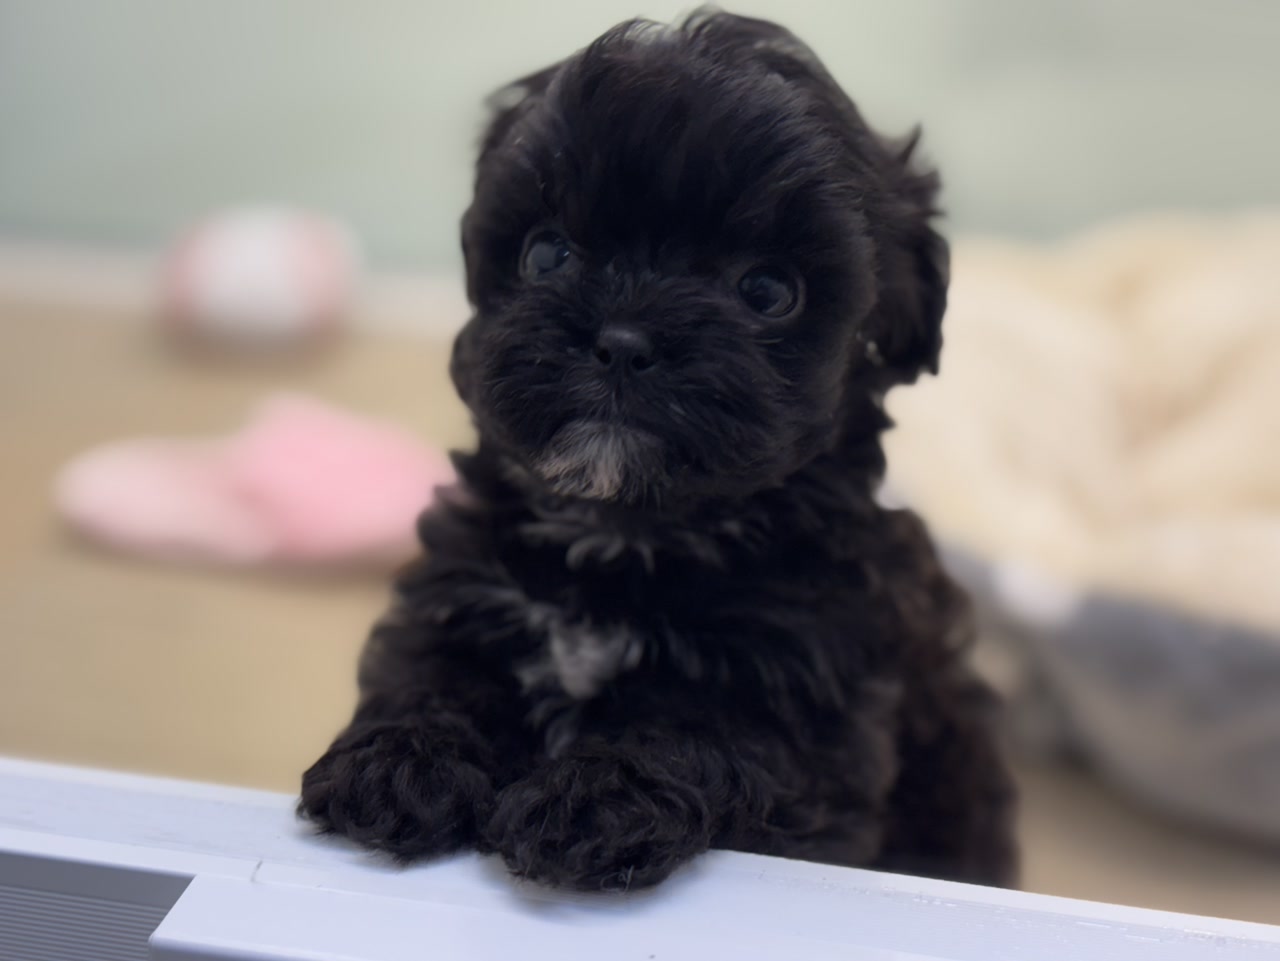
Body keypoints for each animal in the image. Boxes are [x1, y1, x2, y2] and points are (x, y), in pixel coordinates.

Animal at [299, 9, 1017, 891]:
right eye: (546, 254)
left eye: (768, 291)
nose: (622, 340)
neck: (625, 535)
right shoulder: (458, 592)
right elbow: (430, 673)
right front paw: (403, 758)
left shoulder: (814, 709)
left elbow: (704, 733)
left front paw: (595, 795)